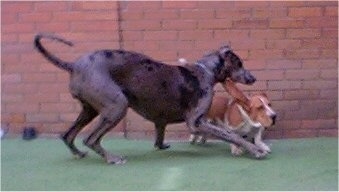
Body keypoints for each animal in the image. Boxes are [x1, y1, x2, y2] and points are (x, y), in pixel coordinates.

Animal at [35, 33, 268, 165]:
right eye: (239, 64)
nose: (253, 78)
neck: (206, 70)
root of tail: (73, 65)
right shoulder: (197, 122)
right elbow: (233, 135)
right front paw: (255, 150)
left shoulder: (161, 120)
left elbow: (159, 134)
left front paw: (160, 146)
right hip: (116, 106)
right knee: (91, 139)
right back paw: (112, 158)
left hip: (89, 110)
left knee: (67, 135)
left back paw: (77, 153)